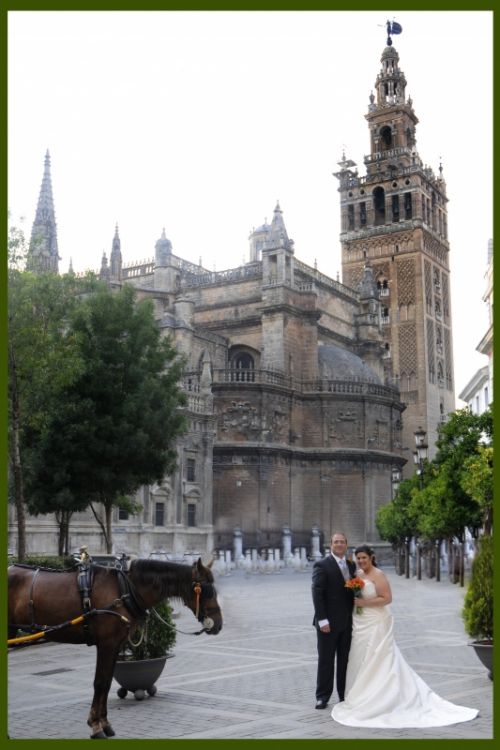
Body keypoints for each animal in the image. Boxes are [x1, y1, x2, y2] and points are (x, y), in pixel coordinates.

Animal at [6, 560, 222, 740]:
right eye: (206, 590)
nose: (218, 624)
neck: (124, 589)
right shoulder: (106, 644)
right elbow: (100, 683)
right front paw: (96, 726)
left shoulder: (115, 645)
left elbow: (107, 683)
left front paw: (104, 723)